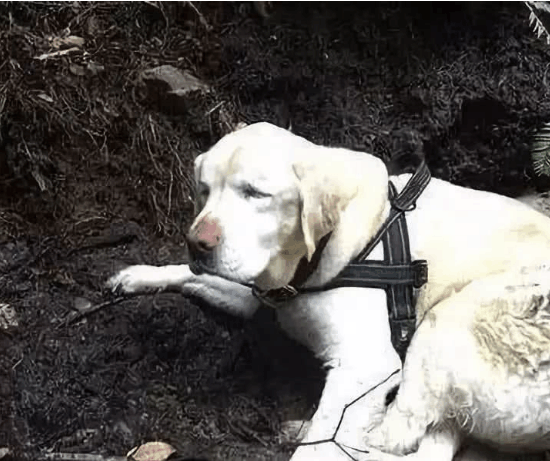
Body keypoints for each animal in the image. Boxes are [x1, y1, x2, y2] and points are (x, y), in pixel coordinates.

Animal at [109, 122, 550, 460]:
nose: (197, 242)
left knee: (395, 436)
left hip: (448, 321)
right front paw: (138, 275)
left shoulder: (368, 364)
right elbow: (193, 276)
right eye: (203, 189)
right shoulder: (257, 292)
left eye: (255, 193)